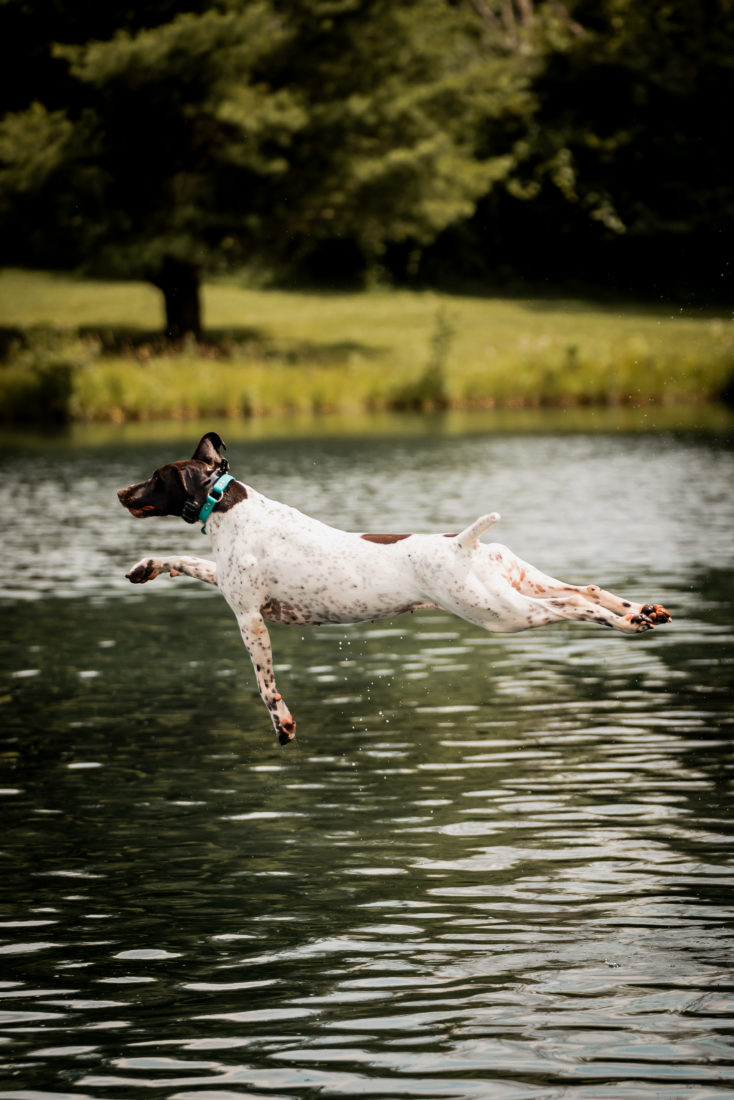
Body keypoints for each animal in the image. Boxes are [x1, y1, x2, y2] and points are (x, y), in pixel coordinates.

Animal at [116, 433, 673, 743]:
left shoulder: (249, 617)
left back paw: (629, 622)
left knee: (575, 604)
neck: (226, 506)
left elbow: (264, 685)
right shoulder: (227, 584)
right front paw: (145, 566)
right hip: (515, 584)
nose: (121, 492)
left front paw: (283, 724)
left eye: (155, 477)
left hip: (501, 613)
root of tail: (464, 542)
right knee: (587, 588)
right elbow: (185, 561)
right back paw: (643, 611)